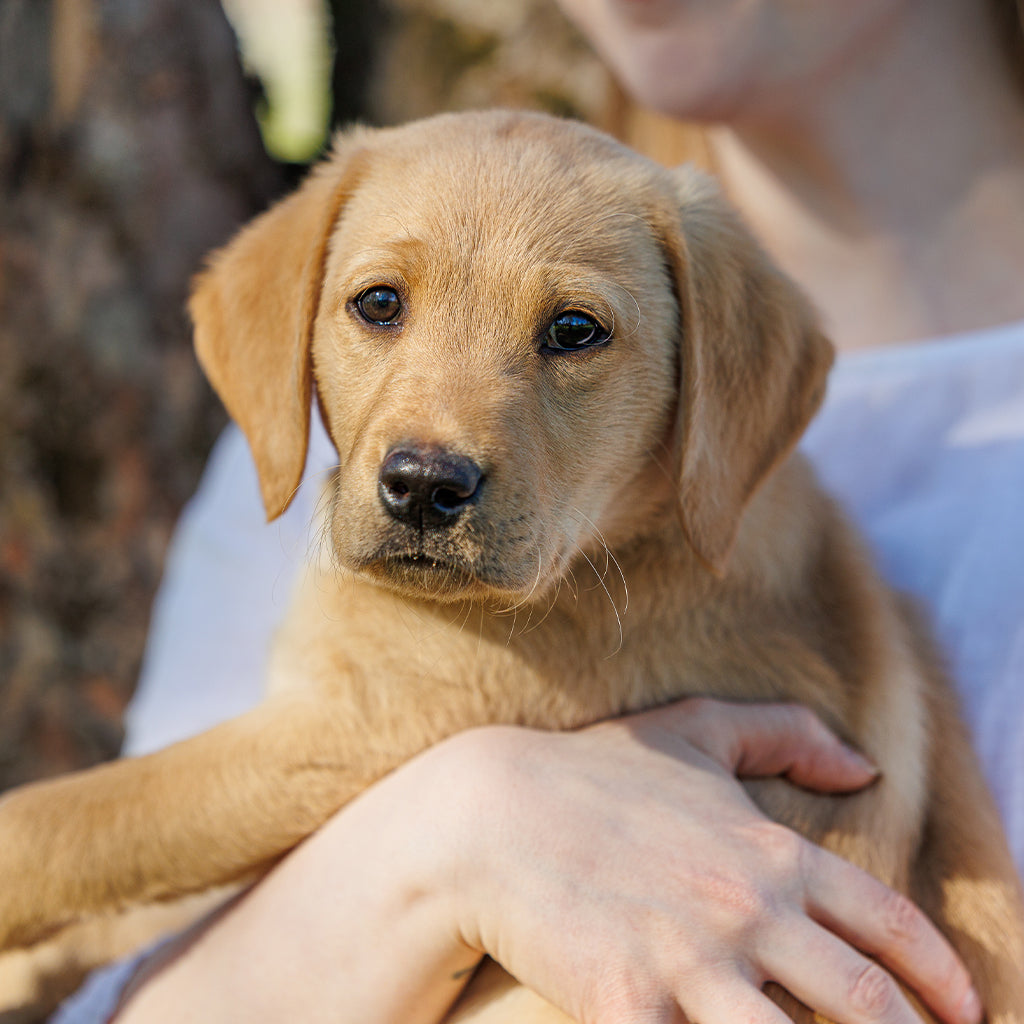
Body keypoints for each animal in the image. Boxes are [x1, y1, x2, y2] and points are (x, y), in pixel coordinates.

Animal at [2, 112, 1024, 1024]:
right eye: (379, 303)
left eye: (574, 330)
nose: (422, 486)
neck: (626, 540)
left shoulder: (356, 726)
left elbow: (82, 816)